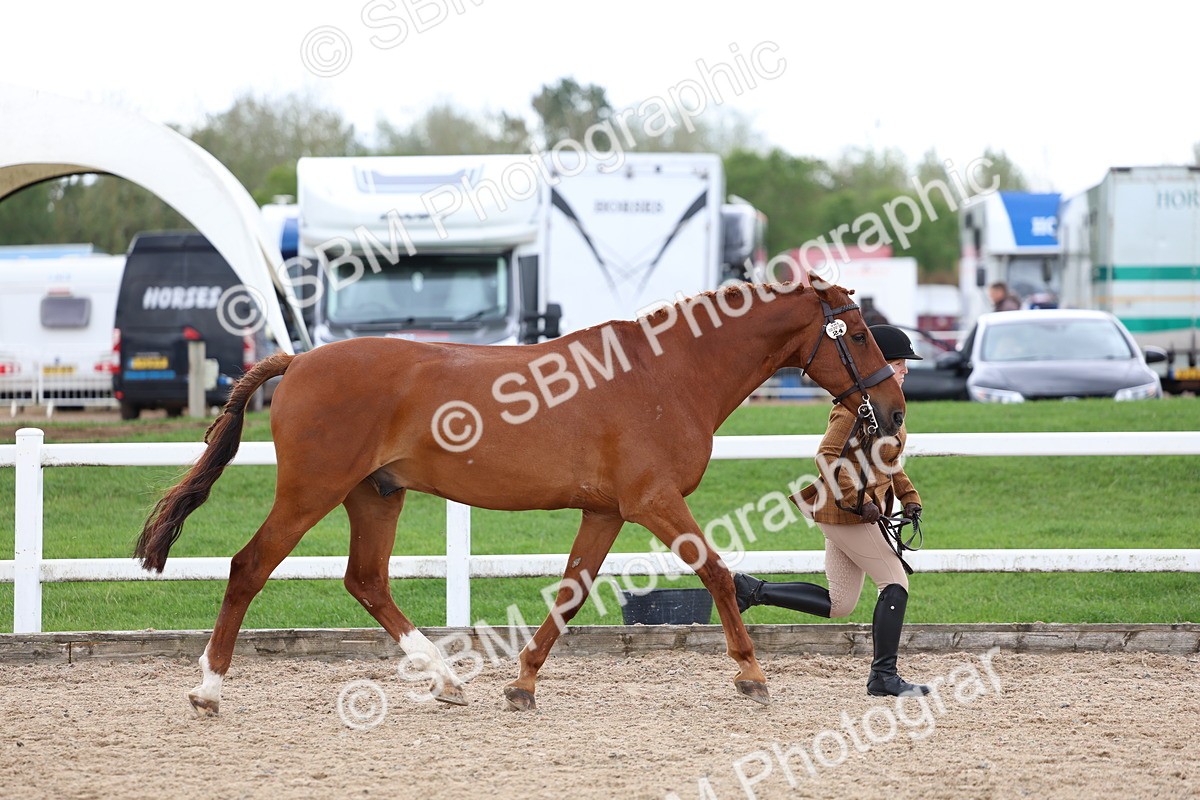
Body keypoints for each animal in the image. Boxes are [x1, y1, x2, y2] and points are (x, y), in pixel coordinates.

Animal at [135, 277, 905, 715]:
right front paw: (751, 675)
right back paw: (208, 689)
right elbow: (714, 572)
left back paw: (447, 681)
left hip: (374, 496)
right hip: (311, 490)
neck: (667, 373)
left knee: (367, 581)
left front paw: (523, 684)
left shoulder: (606, 511)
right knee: (249, 568)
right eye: (862, 335)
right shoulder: (653, 501)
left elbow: (569, 593)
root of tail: (298, 361)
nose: (894, 411)